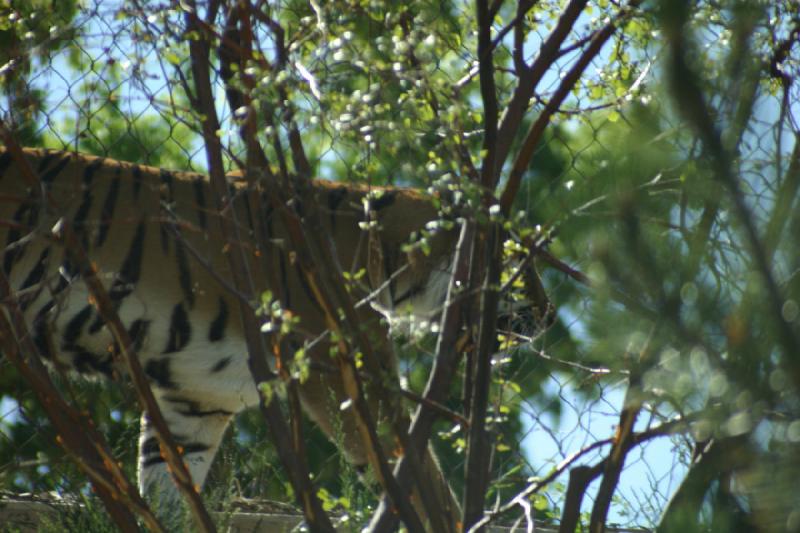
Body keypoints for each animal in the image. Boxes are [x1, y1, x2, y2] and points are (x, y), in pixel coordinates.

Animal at [0, 144, 552, 524]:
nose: (548, 317)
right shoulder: (343, 373)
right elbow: (414, 475)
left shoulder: (195, 402)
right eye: (520, 264)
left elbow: (169, 491)